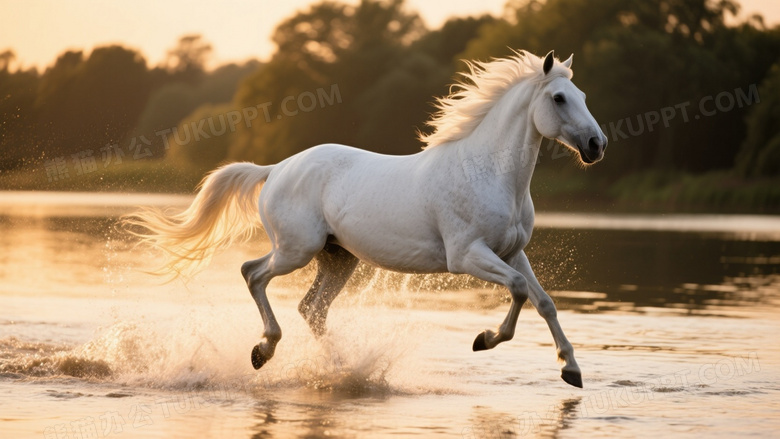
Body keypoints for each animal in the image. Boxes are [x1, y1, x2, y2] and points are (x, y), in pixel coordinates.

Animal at [125, 50, 607, 388]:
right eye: (559, 98)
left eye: (584, 97)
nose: (596, 144)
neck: (490, 173)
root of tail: (276, 169)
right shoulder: (467, 255)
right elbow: (520, 290)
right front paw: (483, 339)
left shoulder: (512, 252)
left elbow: (543, 301)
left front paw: (572, 370)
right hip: (296, 250)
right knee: (252, 273)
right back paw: (265, 352)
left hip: (338, 258)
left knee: (311, 308)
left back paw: (340, 368)